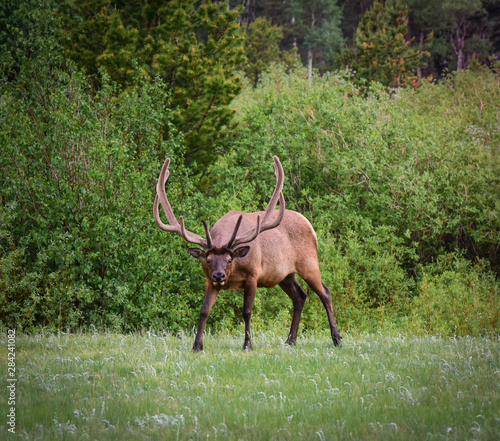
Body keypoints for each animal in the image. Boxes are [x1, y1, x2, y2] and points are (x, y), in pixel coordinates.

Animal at [154, 156, 342, 350]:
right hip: (285, 275)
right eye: (208, 259)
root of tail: (311, 227)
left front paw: (247, 344)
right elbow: (204, 310)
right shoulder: (208, 280)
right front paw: (197, 346)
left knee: (325, 292)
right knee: (300, 296)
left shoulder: (253, 276)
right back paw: (290, 340)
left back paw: (336, 338)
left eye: (229, 259)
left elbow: (247, 311)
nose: (219, 276)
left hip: (309, 262)